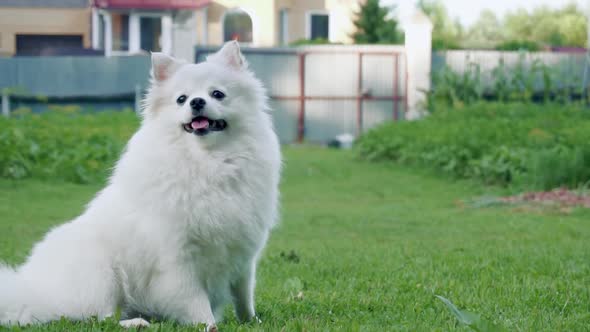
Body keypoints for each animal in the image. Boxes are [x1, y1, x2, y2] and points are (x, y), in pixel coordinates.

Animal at [0, 42, 282, 332]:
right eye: (181, 99)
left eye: (217, 94)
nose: (197, 102)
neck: (208, 161)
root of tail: (34, 291)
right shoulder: (178, 260)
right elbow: (195, 300)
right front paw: (209, 325)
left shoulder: (243, 254)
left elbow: (244, 295)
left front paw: (253, 321)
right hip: (103, 274)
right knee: (100, 317)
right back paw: (136, 322)